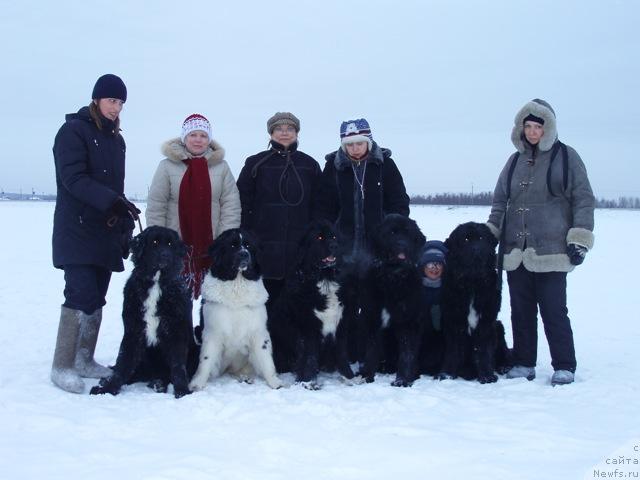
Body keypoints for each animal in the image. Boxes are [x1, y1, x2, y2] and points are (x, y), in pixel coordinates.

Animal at [89, 227, 196, 400]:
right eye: (154, 242)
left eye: (170, 244)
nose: (165, 255)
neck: (156, 284)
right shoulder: (133, 331)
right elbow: (123, 363)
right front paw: (108, 389)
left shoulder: (176, 331)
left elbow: (178, 366)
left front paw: (182, 391)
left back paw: (159, 383)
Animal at [188, 228, 282, 390]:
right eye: (232, 246)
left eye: (248, 246)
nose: (244, 254)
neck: (237, 282)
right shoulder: (212, 332)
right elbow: (206, 359)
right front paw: (197, 384)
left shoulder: (259, 331)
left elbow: (266, 359)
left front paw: (274, 382)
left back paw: (245, 377)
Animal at [266, 221, 352, 390]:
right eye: (319, 237)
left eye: (334, 237)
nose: (334, 246)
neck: (324, 279)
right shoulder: (308, 327)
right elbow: (309, 357)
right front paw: (308, 381)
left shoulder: (341, 323)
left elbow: (342, 353)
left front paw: (349, 377)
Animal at [358, 214, 428, 386]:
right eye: (391, 233)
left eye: (408, 233)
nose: (402, 244)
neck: (392, 278)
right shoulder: (372, 317)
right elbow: (372, 350)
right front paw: (367, 376)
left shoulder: (409, 321)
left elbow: (407, 353)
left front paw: (402, 380)